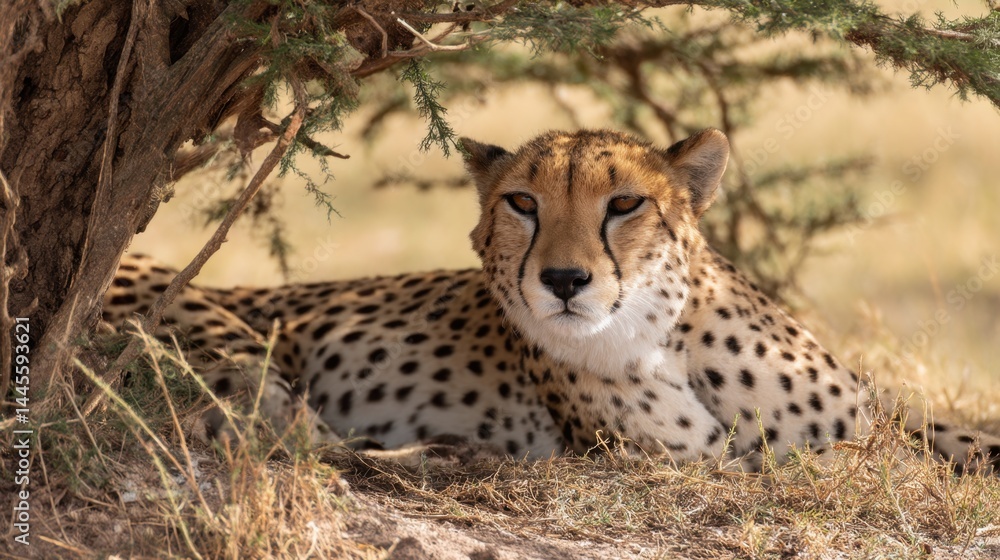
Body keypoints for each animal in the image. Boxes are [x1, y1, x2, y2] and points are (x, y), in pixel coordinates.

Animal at [102, 128, 1000, 472]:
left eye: (626, 203)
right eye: (523, 203)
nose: (564, 281)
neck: (676, 341)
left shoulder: (875, 415)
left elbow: (944, 435)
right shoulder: (677, 462)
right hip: (231, 348)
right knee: (295, 437)